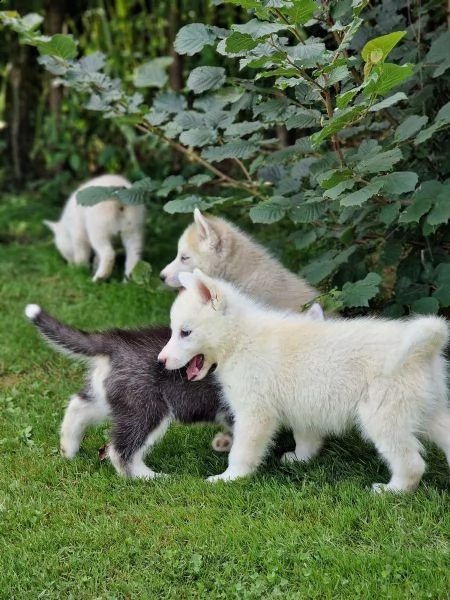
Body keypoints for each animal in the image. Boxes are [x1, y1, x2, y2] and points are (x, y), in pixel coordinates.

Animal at [23, 304, 232, 478]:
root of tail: (117, 341)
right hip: (146, 408)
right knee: (121, 451)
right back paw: (149, 477)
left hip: (114, 399)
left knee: (78, 406)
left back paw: (68, 449)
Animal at [158, 270, 450, 494]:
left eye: (185, 332)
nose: (161, 361)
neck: (239, 338)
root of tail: (426, 349)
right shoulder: (304, 403)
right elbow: (305, 436)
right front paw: (301, 459)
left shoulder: (255, 413)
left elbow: (242, 450)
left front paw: (230, 478)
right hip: (431, 410)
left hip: (384, 417)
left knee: (411, 463)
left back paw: (392, 491)